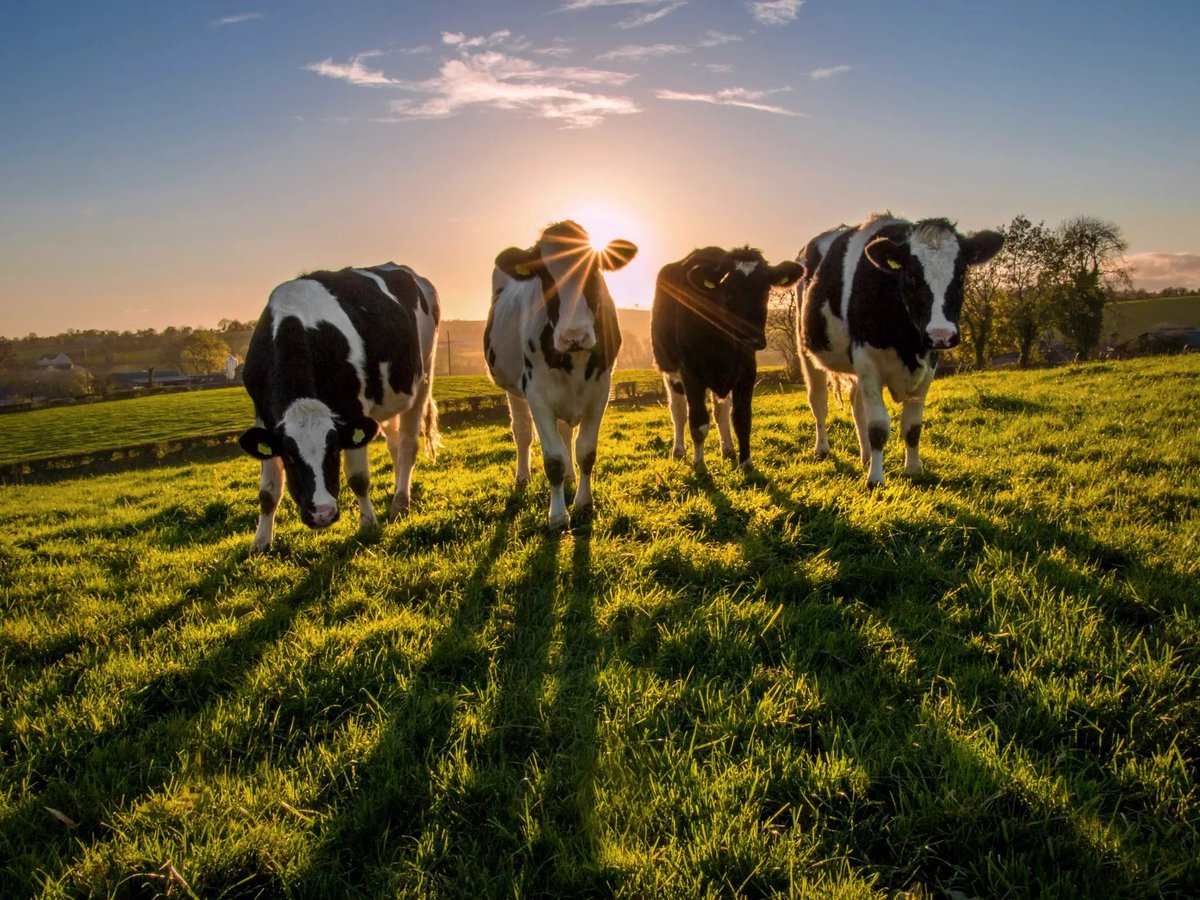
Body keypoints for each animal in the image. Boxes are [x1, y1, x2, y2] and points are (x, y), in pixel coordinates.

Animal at [236, 264, 439, 554]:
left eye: (333, 452)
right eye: (289, 458)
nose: (322, 514)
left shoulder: (353, 409)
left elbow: (358, 478)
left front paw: (368, 524)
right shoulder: (264, 417)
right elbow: (268, 490)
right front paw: (261, 543)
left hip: (423, 376)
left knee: (408, 445)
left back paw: (401, 502)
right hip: (388, 397)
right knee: (394, 444)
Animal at [484, 220, 643, 528]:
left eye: (594, 270)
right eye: (545, 276)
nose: (574, 336)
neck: (574, 358)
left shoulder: (600, 391)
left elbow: (586, 451)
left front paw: (583, 504)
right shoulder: (537, 394)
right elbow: (553, 458)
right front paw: (557, 515)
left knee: (566, 432)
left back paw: (570, 476)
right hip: (513, 388)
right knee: (522, 433)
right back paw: (523, 477)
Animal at [652, 247, 811, 472]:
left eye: (764, 291)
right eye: (729, 292)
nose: (753, 339)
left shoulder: (746, 372)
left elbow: (741, 418)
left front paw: (746, 463)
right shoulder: (691, 374)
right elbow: (698, 422)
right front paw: (700, 465)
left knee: (721, 412)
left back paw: (727, 450)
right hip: (669, 370)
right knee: (679, 412)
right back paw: (679, 451)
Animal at [796, 213, 1003, 487]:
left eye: (961, 273)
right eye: (912, 275)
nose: (941, 334)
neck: (907, 343)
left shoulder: (929, 364)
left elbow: (912, 427)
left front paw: (913, 469)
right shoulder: (867, 359)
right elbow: (878, 427)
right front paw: (875, 479)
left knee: (857, 406)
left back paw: (865, 456)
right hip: (807, 352)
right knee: (818, 401)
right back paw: (822, 448)